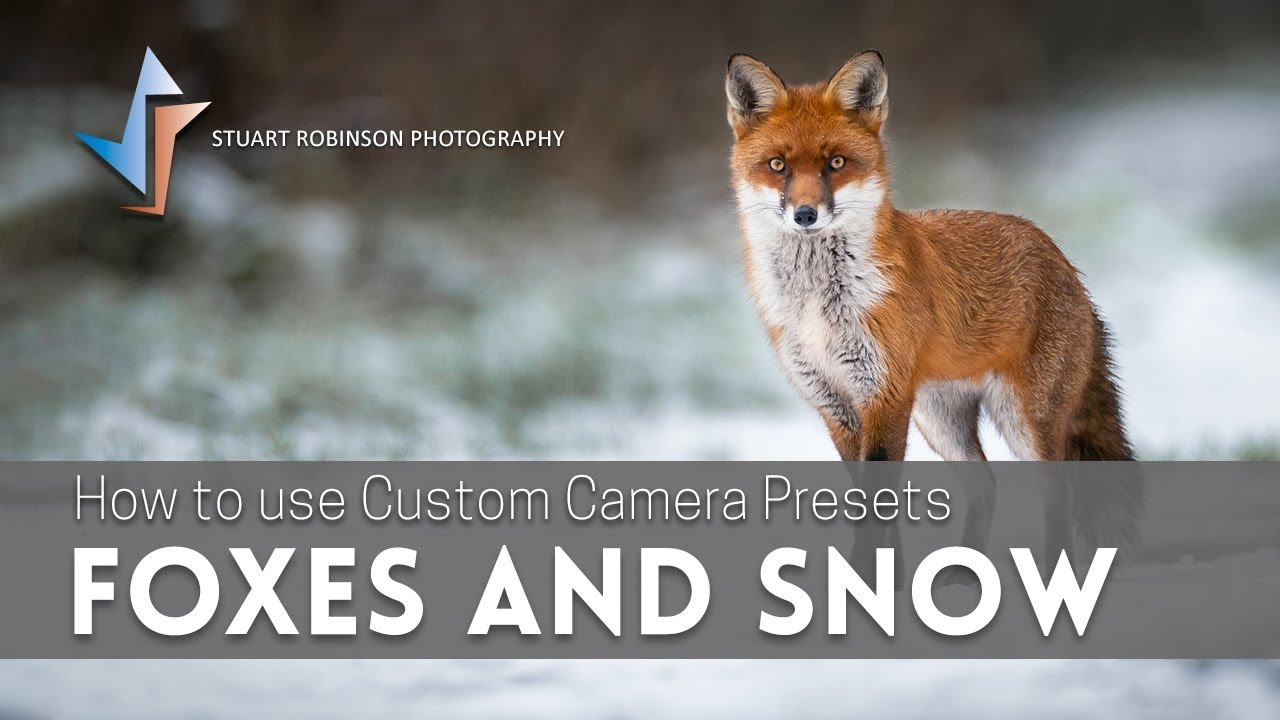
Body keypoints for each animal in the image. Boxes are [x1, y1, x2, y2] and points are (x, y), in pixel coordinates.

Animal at [725, 50, 1141, 564]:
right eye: (777, 165)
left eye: (836, 163)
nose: (805, 214)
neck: (821, 310)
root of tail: (1065, 261)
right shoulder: (836, 403)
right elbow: (867, 508)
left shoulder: (882, 395)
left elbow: (875, 508)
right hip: (940, 421)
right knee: (985, 485)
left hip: (1025, 421)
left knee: (1056, 492)